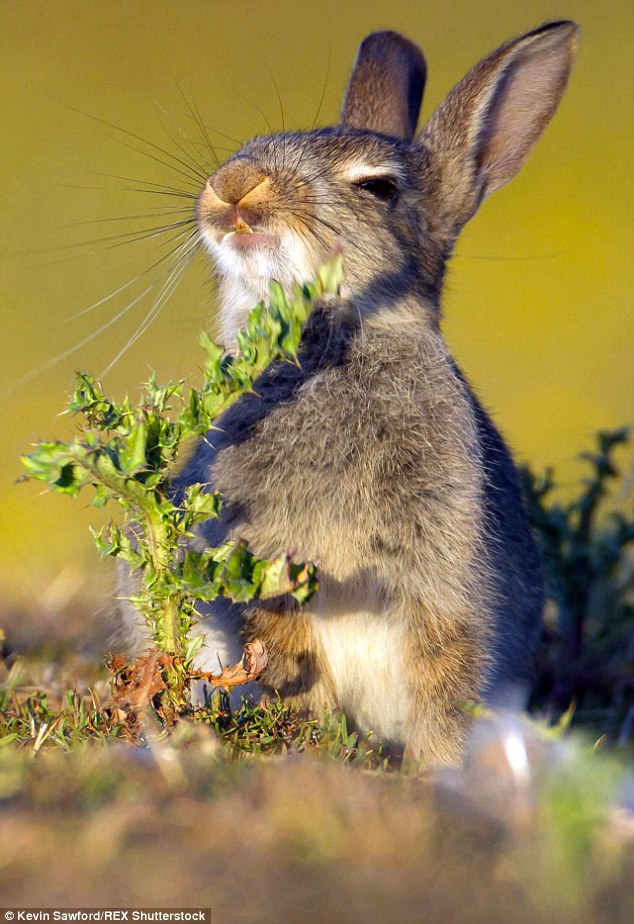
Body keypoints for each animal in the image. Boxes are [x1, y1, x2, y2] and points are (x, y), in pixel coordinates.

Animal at [116, 21, 576, 768]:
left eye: (379, 187)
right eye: (248, 147)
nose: (232, 187)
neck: (328, 345)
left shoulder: (443, 585)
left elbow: (443, 679)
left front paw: (437, 769)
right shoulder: (262, 574)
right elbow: (286, 655)